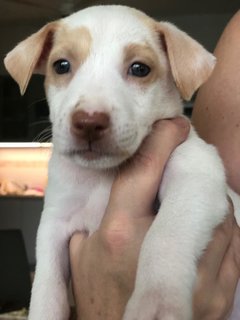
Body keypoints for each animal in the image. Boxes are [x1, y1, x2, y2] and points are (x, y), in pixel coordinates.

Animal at [4, 5, 240, 320]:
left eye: (140, 69)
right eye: (61, 65)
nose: (89, 122)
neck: (102, 176)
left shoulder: (196, 176)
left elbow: (165, 234)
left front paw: (156, 302)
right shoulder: (54, 222)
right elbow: (46, 285)